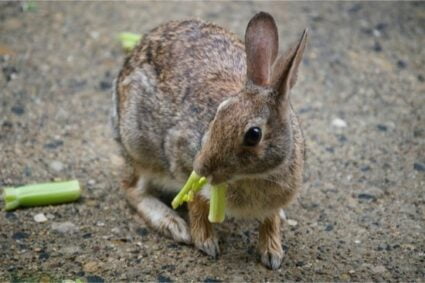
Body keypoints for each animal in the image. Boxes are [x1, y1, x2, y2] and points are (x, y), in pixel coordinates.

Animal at [111, 11, 306, 270]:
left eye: (253, 135)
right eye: (219, 112)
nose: (201, 167)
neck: (255, 175)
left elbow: (270, 219)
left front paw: (273, 253)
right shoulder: (182, 159)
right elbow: (194, 201)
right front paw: (205, 242)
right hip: (139, 147)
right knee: (131, 188)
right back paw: (173, 224)